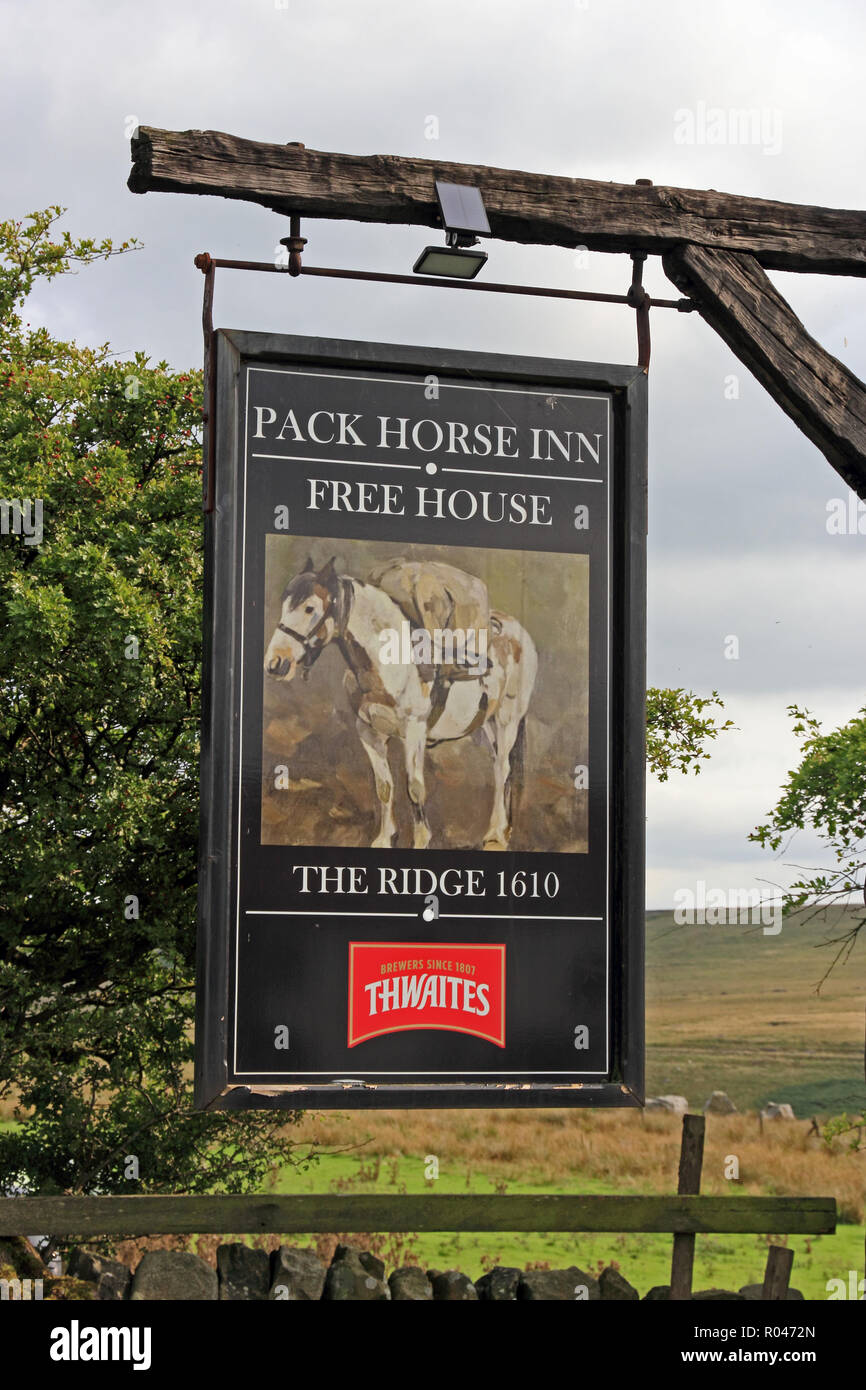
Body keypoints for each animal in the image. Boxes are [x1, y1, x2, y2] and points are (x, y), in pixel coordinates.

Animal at [264, 553, 536, 845]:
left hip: (507, 720)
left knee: (502, 769)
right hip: (486, 722)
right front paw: (384, 838)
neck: (391, 660)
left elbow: (414, 788)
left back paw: (495, 834)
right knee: (500, 767)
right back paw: (502, 828)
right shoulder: (368, 731)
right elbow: (384, 787)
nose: (275, 663)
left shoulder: (414, 731)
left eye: (309, 608)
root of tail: (518, 632)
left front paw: (421, 840)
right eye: (285, 604)